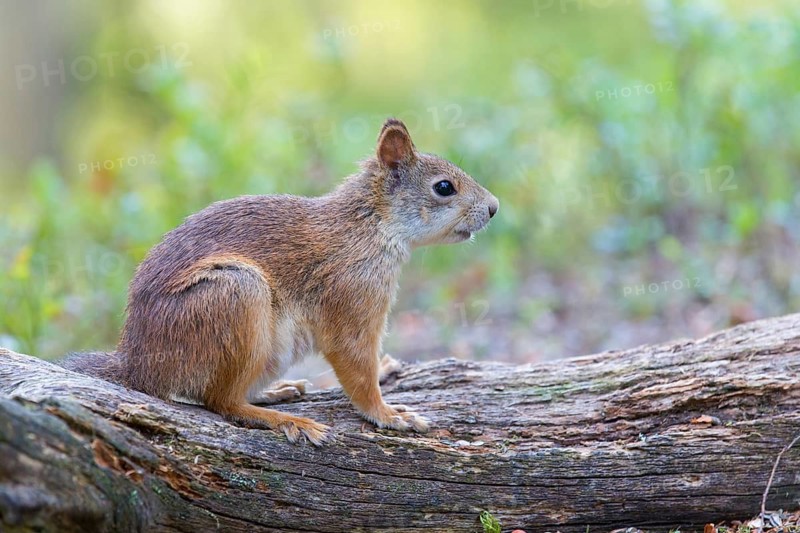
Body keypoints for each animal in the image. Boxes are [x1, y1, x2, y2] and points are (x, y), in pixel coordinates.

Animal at [62, 118, 499, 445]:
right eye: (444, 187)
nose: (494, 208)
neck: (369, 225)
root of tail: (138, 368)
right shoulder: (351, 300)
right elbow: (358, 371)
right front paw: (389, 414)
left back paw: (275, 393)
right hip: (236, 295)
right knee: (221, 402)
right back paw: (286, 420)